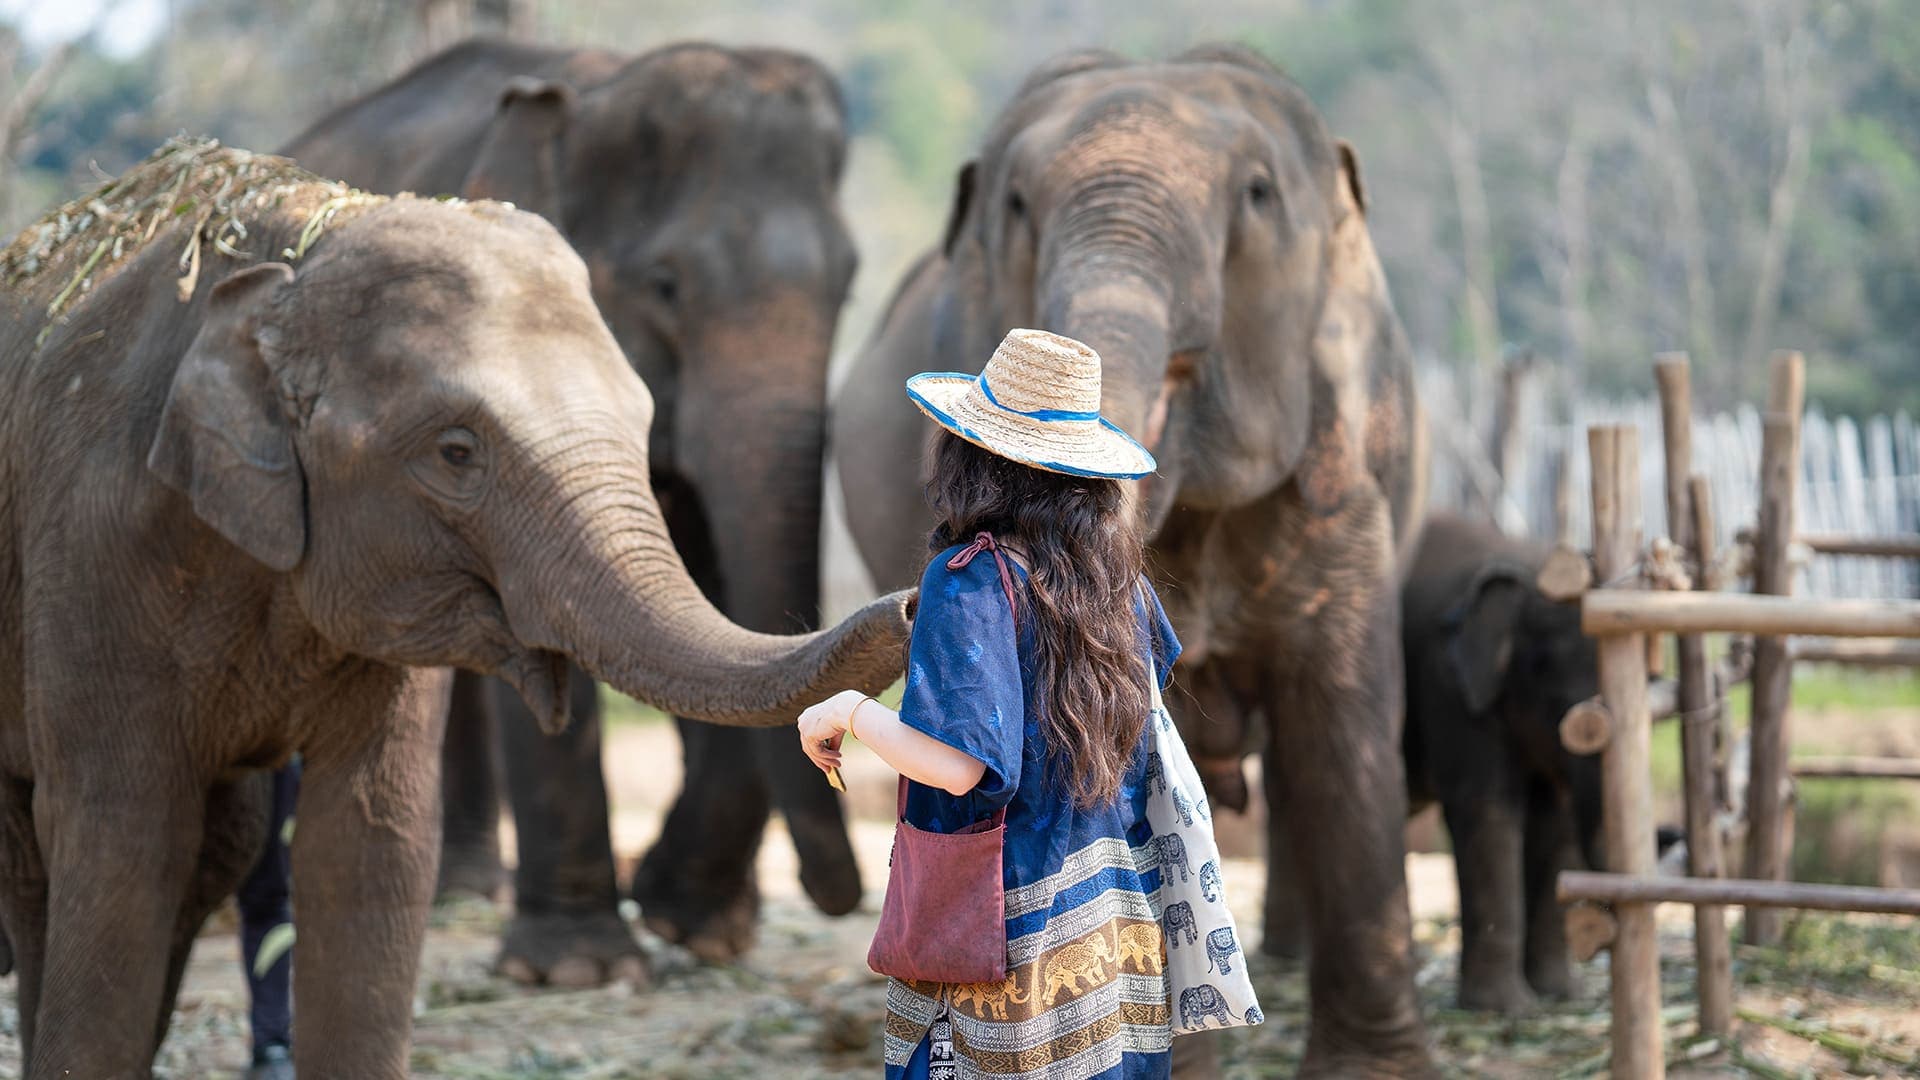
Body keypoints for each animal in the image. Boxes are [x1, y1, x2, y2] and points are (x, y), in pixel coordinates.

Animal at [0, 142, 907, 1079]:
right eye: (456, 453)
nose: (910, 602)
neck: (299, 253)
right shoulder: (96, 539)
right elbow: (123, 838)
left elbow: (371, 843)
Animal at [280, 39, 863, 980]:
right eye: (665, 287)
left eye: (848, 289)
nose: (837, 899)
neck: (599, 87)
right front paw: (579, 968)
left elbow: (713, 597)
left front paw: (696, 928)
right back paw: (466, 895)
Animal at [831, 45, 1430, 1076]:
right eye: (1017, 204)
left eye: (1258, 195)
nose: (906, 606)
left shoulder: (1340, 463)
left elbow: (1341, 720)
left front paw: (1372, 1070)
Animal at [1401, 514, 1604, 1013]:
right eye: (1544, 672)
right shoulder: (1449, 686)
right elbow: (1487, 808)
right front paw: (1507, 1010)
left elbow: (1556, 819)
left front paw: (1560, 997)